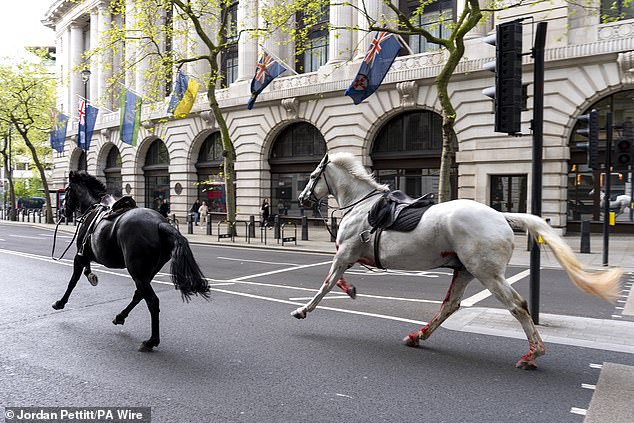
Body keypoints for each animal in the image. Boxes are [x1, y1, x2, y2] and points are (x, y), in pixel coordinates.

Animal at [53, 171, 209, 352]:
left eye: (67, 191)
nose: (62, 210)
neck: (93, 207)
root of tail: (160, 223)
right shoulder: (86, 255)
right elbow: (86, 271)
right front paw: (91, 276)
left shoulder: (80, 255)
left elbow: (72, 281)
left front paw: (60, 302)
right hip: (147, 273)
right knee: (139, 295)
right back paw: (120, 317)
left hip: (137, 272)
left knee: (152, 301)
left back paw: (151, 341)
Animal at [294, 154, 620, 370]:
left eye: (311, 176)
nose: (302, 199)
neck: (362, 205)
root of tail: (502, 216)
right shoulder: (350, 255)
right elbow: (337, 280)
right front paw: (350, 290)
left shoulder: (345, 253)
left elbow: (326, 283)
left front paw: (303, 310)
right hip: (465, 271)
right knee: (450, 305)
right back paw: (417, 335)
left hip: (487, 273)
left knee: (518, 306)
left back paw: (532, 354)